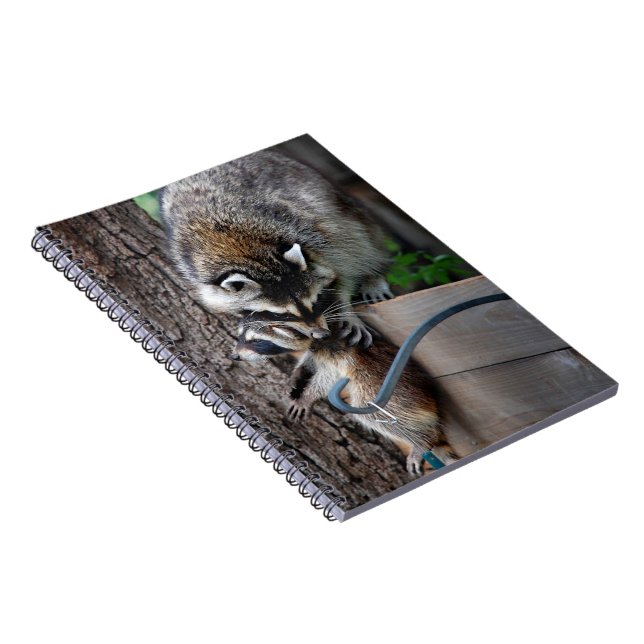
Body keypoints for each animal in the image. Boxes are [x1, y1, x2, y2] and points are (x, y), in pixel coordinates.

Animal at [160, 149, 392, 346]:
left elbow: (345, 263)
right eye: (280, 314)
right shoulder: (193, 267)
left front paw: (344, 306)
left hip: (333, 200)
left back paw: (374, 273)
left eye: (314, 301)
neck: (243, 251)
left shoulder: (308, 228)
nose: (320, 334)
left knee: (362, 234)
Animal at [232, 312, 459, 475]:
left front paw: (308, 396)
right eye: (240, 335)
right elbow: (310, 360)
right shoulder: (320, 349)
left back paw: (423, 439)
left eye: (256, 341)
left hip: (393, 391)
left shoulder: (341, 351)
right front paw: (298, 373)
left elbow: (328, 378)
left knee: (375, 413)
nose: (234, 356)